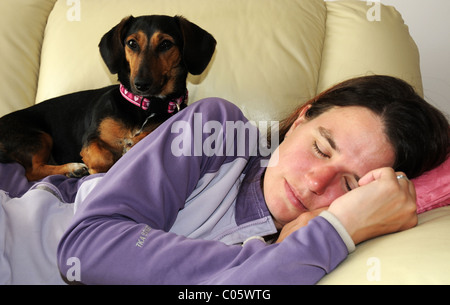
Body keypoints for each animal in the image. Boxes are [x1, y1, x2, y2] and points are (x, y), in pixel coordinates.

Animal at [0, 14, 216, 179]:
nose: (140, 84)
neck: (143, 108)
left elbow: (146, 136)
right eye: (132, 43)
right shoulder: (91, 139)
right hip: (39, 136)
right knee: (33, 172)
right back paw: (73, 168)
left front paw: (133, 144)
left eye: (165, 44)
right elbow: (103, 158)